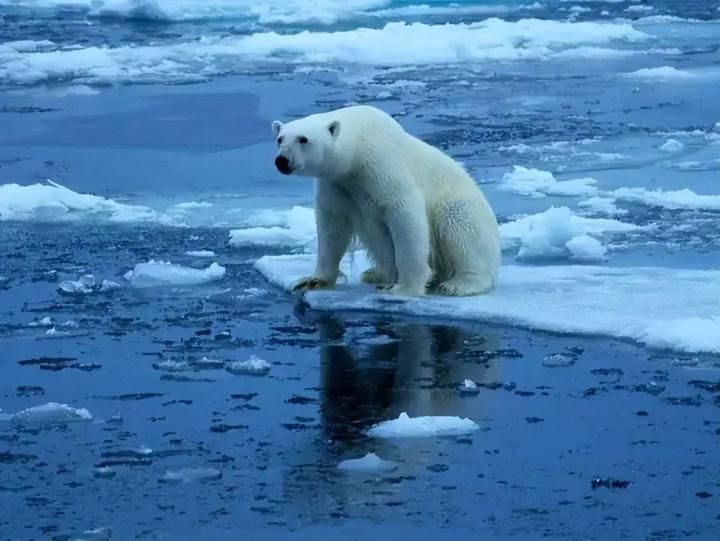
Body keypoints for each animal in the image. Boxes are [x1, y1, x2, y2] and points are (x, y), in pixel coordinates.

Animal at [270, 104, 500, 300]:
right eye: (280, 139)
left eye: (303, 139)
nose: (282, 161)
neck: (357, 151)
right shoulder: (336, 184)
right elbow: (332, 226)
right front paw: (312, 281)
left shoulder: (383, 166)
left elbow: (405, 216)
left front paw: (404, 288)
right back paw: (374, 273)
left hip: (462, 208)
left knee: (461, 231)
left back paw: (457, 285)